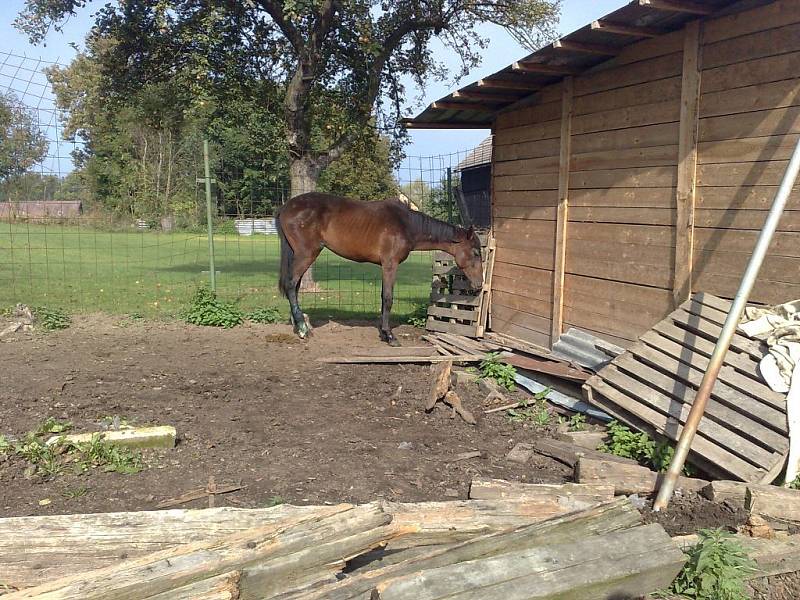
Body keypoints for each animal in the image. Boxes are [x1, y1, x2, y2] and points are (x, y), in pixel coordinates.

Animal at [276, 192, 482, 346]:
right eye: (476, 252)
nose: (479, 284)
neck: (406, 224)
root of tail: (287, 207)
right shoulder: (390, 264)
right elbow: (388, 298)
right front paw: (390, 336)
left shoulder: (385, 266)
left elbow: (383, 298)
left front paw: (383, 333)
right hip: (306, 254)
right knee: (291, 284)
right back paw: (303, 329)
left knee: (294, 287)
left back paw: (298, 326)